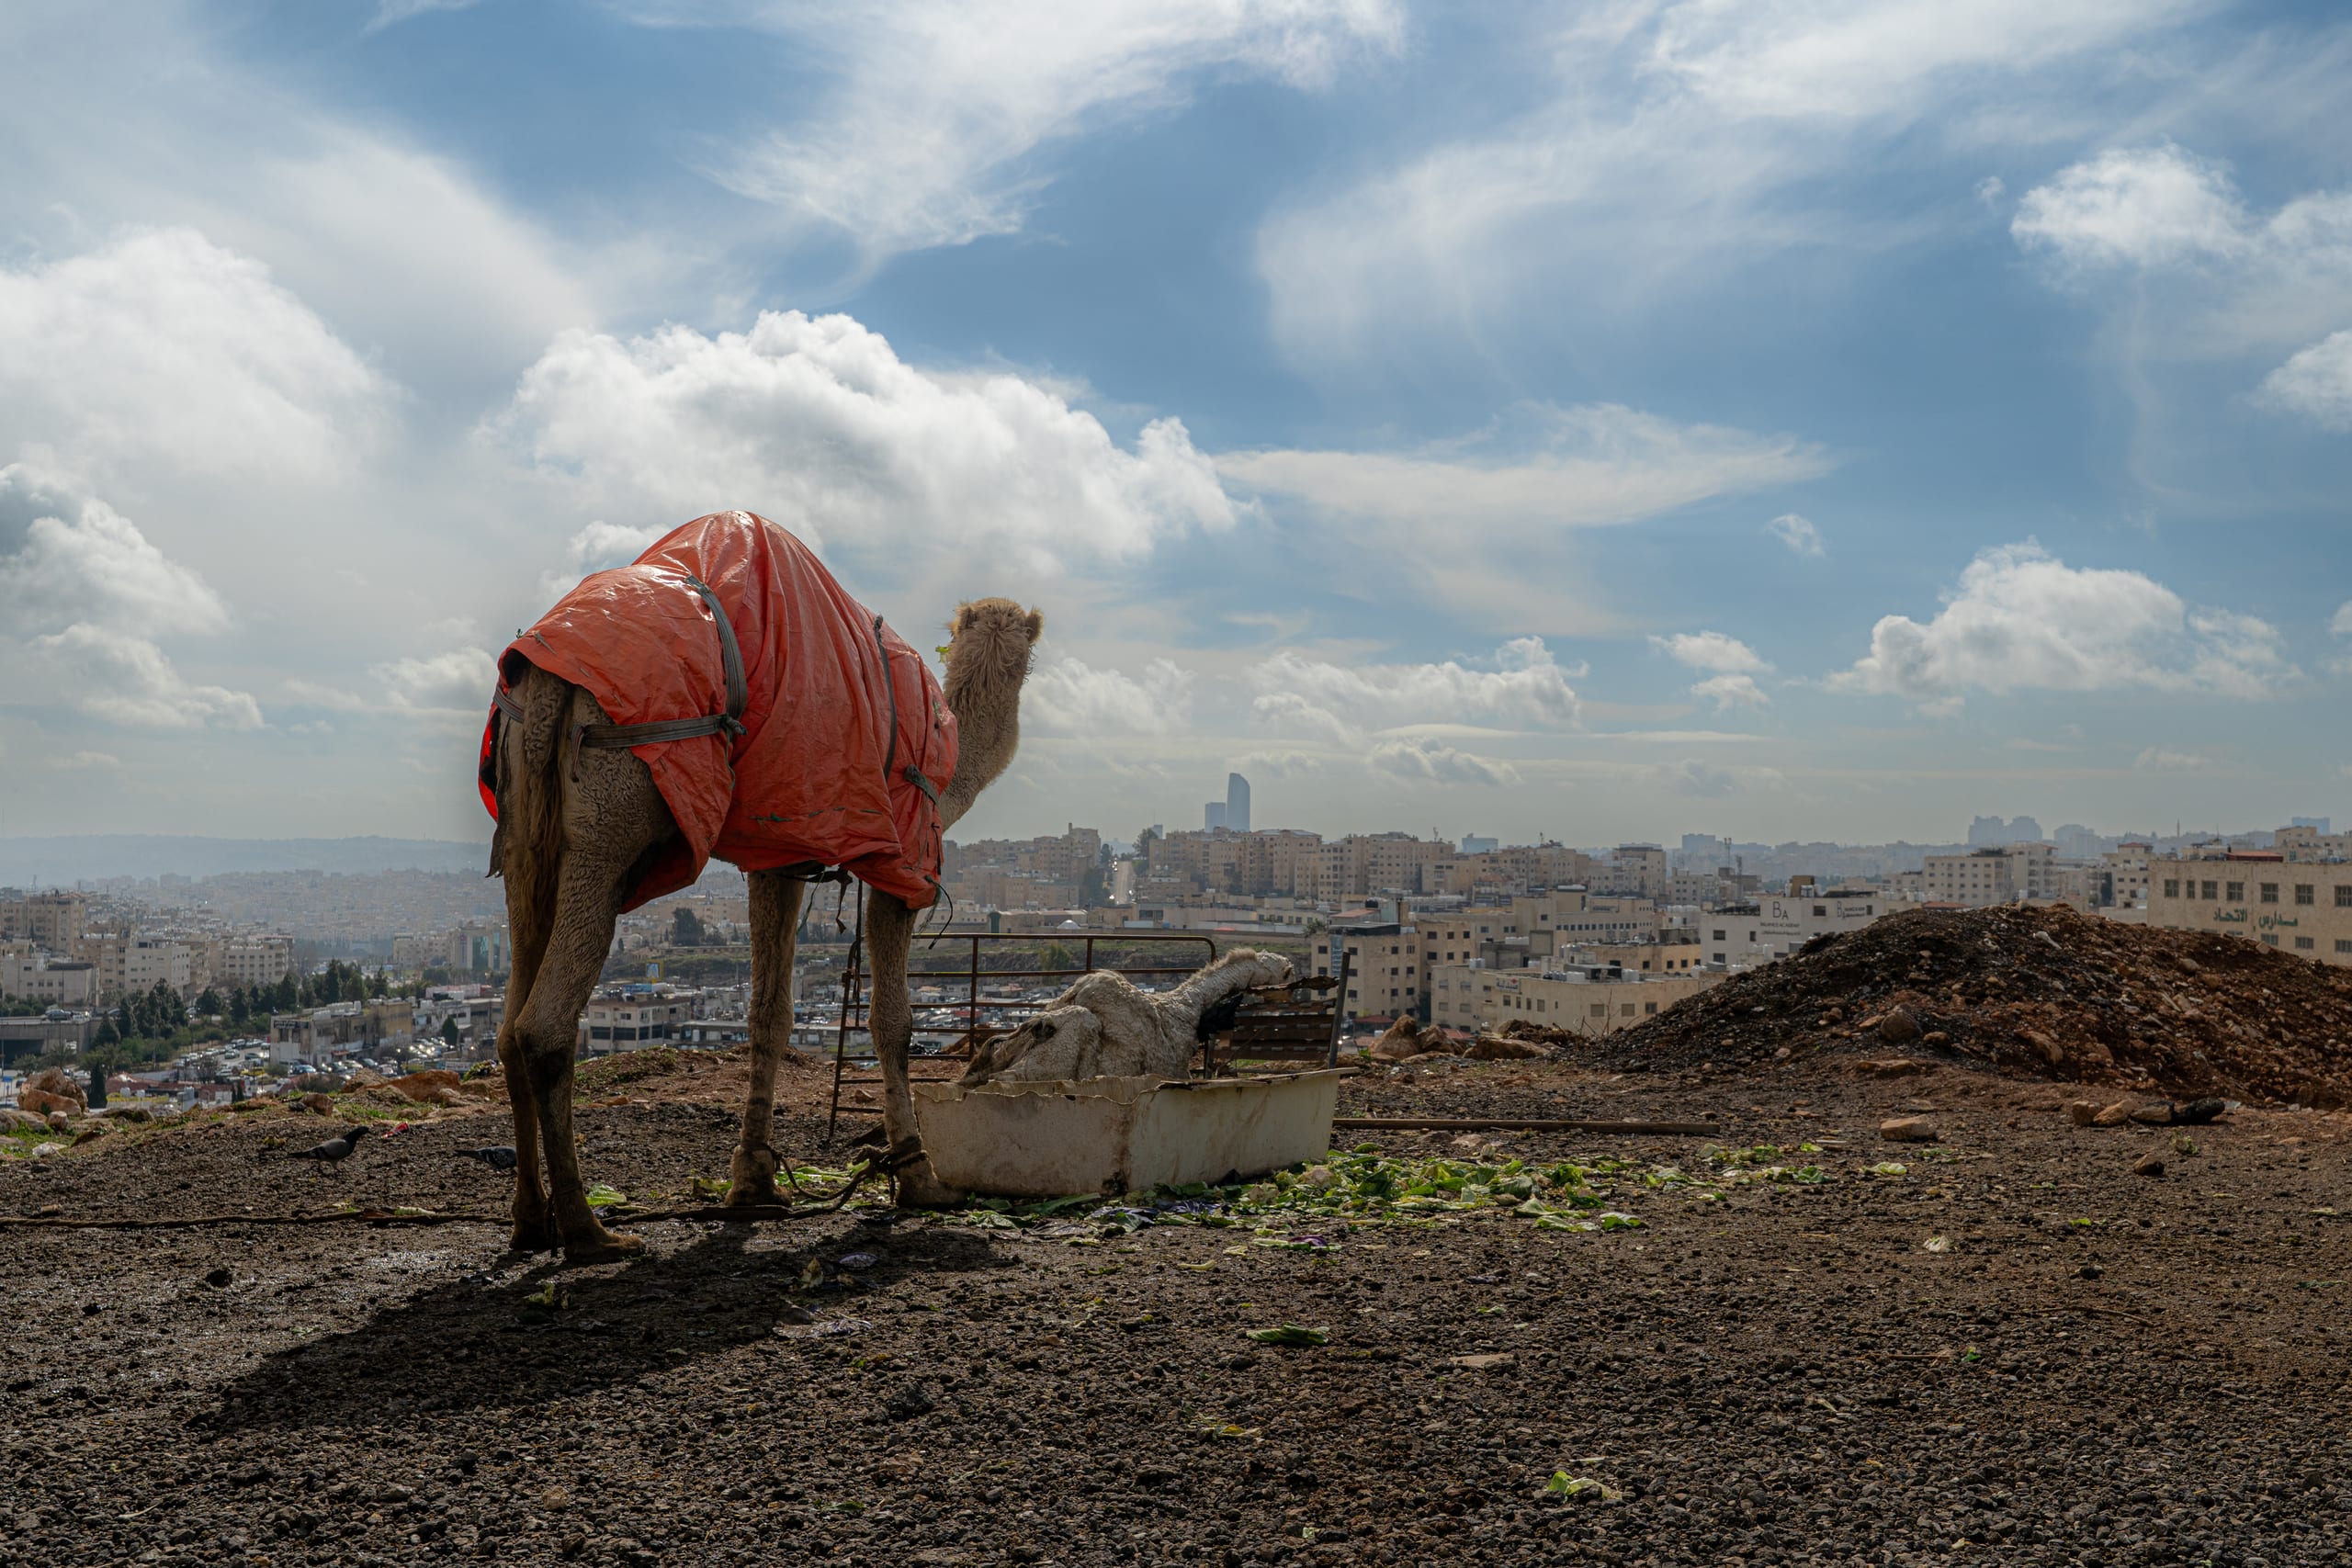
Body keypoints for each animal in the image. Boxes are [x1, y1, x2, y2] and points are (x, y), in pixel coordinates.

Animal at [487, 524, 1040, 1263]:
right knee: (544, 1025)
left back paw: (528, 1220)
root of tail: (547, 674)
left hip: (525, 822)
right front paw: (920, 1177)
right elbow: (892, 1021)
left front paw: (753, 1183)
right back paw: (590, 1230)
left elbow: (769, 1014)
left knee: (507, 1021)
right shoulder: (905, 860)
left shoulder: (777, 856)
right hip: (613, 801)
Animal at [958, 947, 1295, 1087]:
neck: (1187, 1008)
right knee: (1006, 1081)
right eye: (1284, 972)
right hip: (1043, 1063)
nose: (1293, 971)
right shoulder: (1171, 1070)